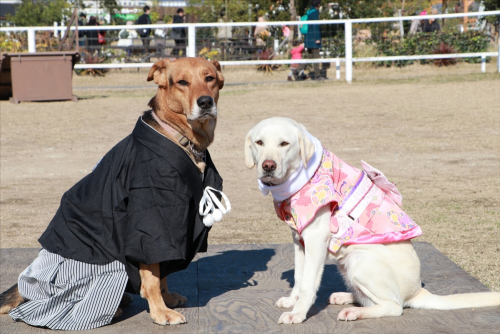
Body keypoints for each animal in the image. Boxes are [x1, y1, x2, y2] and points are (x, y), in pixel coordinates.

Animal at [0, 56, 223, 326]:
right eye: (182, 82)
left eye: (209, 78)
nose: (206, 102)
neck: (180, 136)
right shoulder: (152, 220)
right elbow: (153, 275)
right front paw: (161, 311)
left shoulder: (175, 225)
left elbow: (164, 272)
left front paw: (167, 299)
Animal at [244, 117, 500, 324]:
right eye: (259, 142)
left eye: (284, 144)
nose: (268, 166)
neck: (299, 179)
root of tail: (417, 291)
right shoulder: (299, 240)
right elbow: (299, 276)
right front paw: (292, 301)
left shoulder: (316, 239)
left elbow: (308, 283)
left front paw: (297, 314)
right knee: (371, 298)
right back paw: (346, 297)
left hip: (360, 259)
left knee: (394, 306)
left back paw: (356, 312)